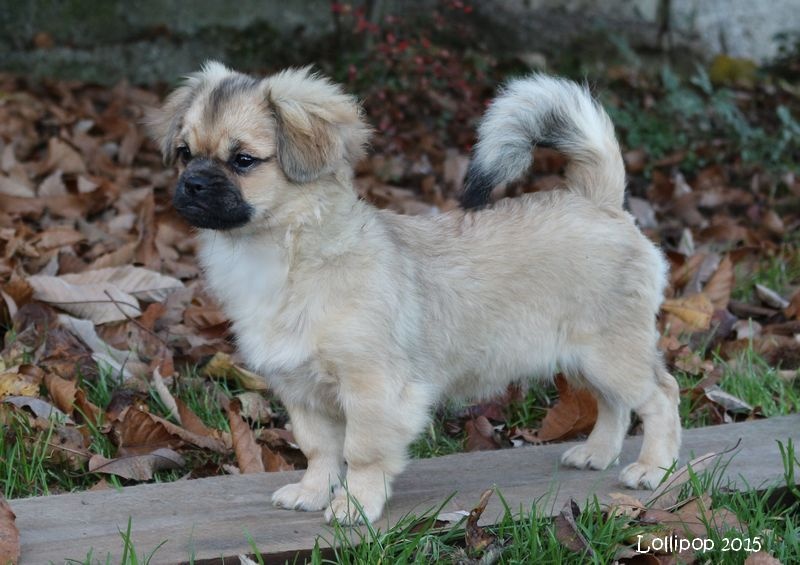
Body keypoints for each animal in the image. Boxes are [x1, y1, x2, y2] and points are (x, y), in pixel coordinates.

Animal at [148, 61, 680, 524]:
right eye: (185, 153)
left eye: (242, 161)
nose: (193, 184)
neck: (278, 255)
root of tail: (599, 201)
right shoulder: (303, 393)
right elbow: (320, 450)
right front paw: (313, 493)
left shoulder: (372, 390)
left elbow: (361, 453)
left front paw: (354, 506)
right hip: (586, 359)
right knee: (615, 405)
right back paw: (598, 453)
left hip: (611, 353)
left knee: (660, 395)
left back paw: (653, 469)